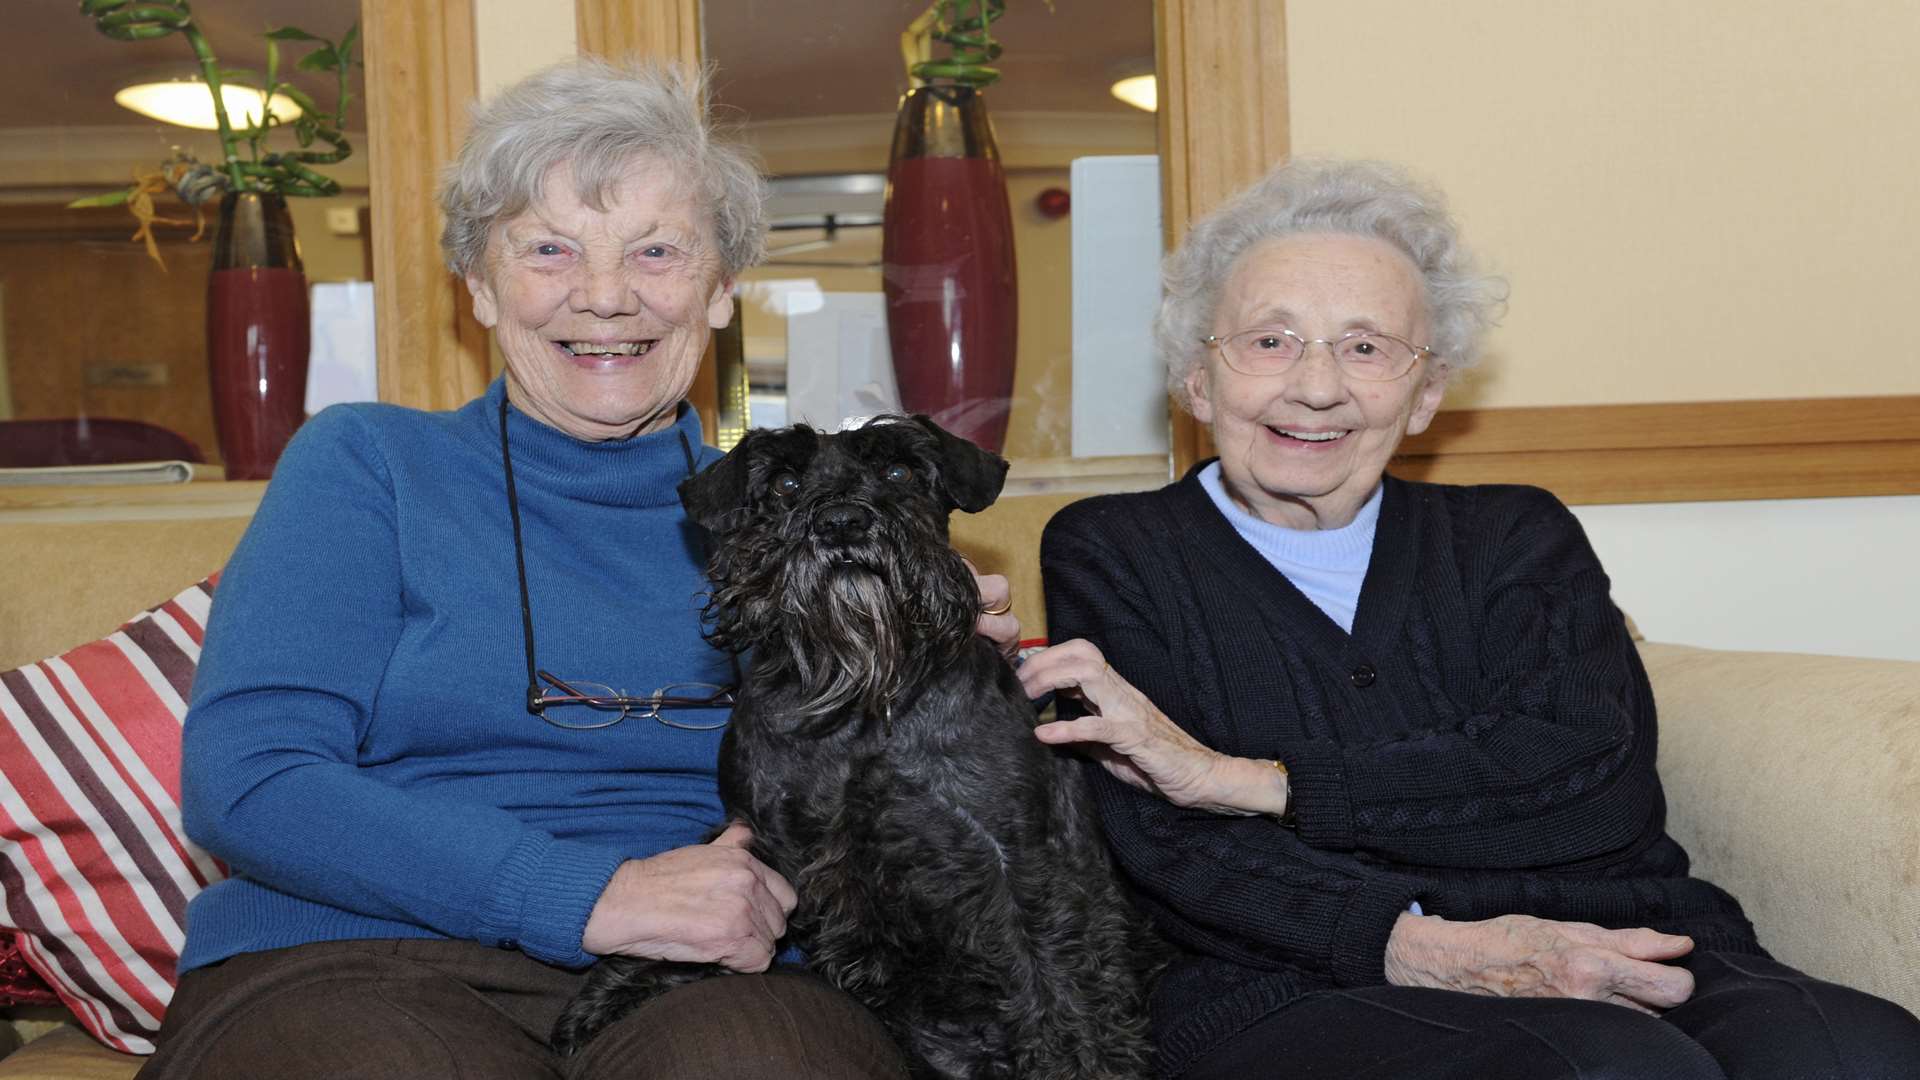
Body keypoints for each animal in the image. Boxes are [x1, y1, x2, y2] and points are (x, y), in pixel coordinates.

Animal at [549, 413, 1159, 1076]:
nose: (841, 521)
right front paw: (618, 986)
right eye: (785, 483)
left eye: (899, 471)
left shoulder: (1016, 858)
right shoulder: (765, 838)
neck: (860, 696)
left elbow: (1053, 978)